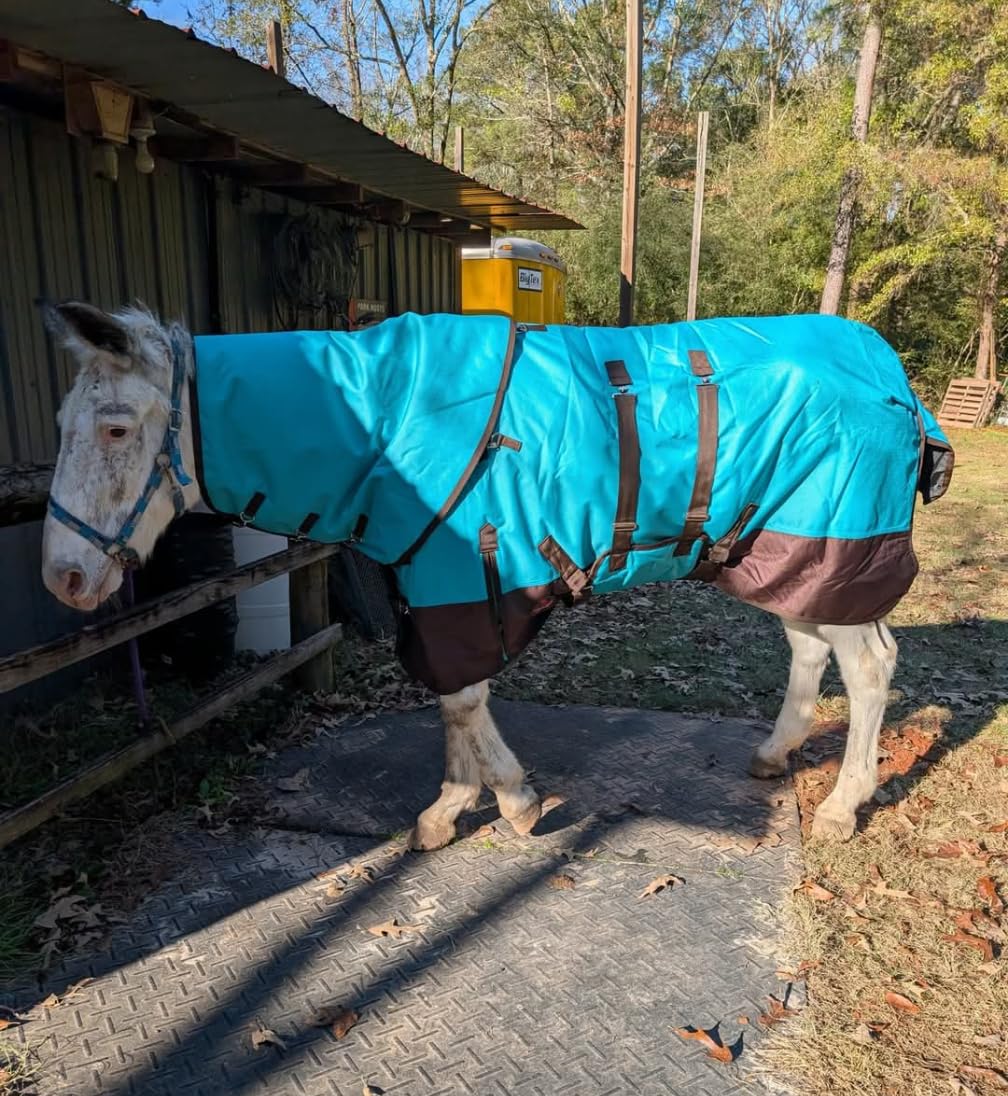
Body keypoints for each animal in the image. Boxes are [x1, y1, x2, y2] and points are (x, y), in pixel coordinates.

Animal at [38, 301, 953, 848]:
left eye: (115, 426)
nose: (63, 579)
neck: (376, 420)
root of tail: (892, 375)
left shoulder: (457, 577)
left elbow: (463, 698)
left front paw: (511, 802)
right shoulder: (429, 583)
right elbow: (450, 698)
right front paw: (450, 807)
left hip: (838, 538)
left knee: (870, 666)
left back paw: (841, 805)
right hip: (785, 548)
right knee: (811, 648)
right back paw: (774, 754)